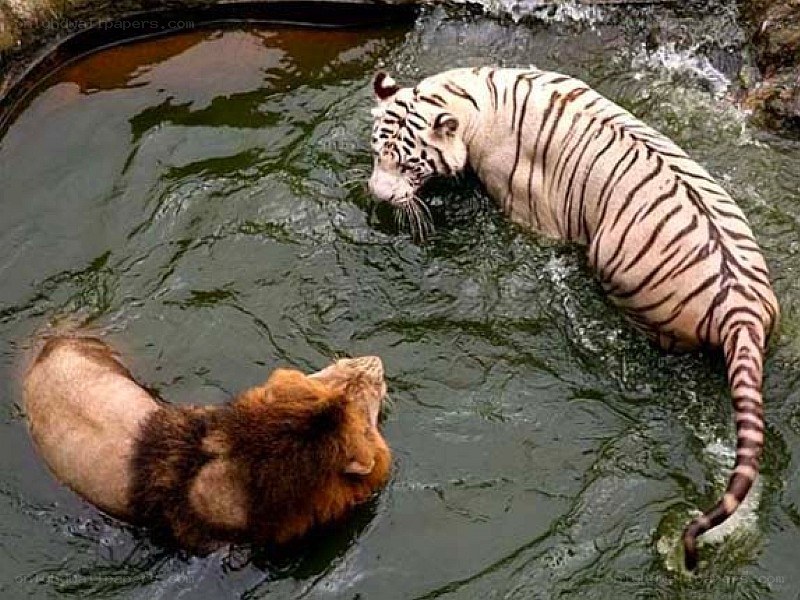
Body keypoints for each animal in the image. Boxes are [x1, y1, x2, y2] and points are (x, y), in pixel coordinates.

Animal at [367, 66, 780, 570]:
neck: (470, 98)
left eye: (409, 165)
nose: (377, 194)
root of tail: (741, 308)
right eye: (377, 154)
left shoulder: (528, 211)